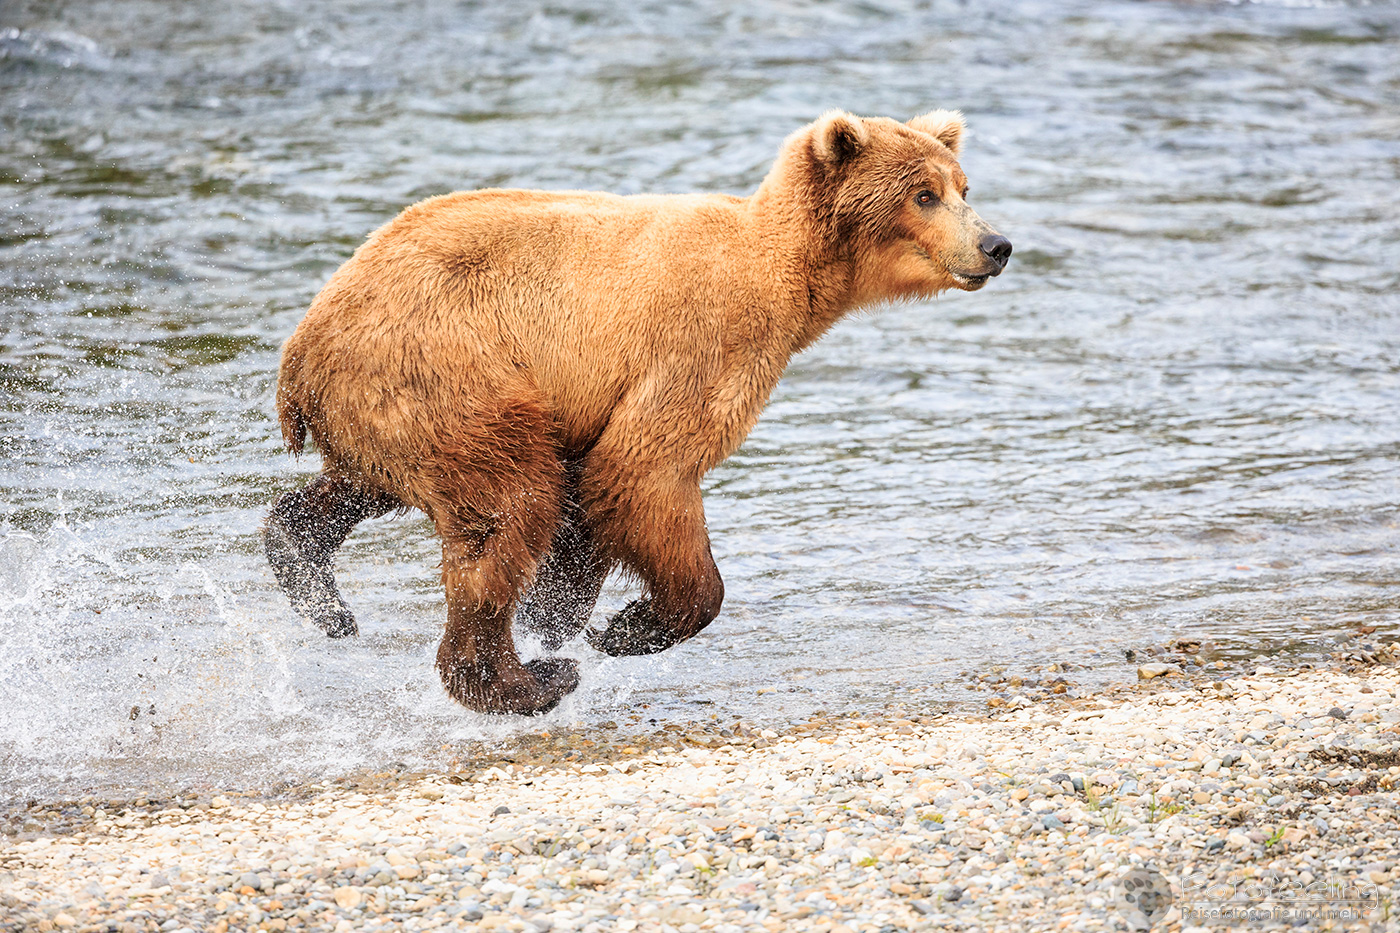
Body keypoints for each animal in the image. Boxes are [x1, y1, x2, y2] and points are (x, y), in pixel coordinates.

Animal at [265, 109, 1012, 716]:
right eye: (924, 194)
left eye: (963, 187)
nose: (996, 245)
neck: (792, 278)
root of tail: (300, 350)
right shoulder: (702, 343)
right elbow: (644, 468)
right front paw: (628, 626)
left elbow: (589, 507)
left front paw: (565, 612)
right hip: (447, 371)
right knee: (509, 505)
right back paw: (527, 681)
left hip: (390, 414)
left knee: (367, 490)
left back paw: (318, 587)